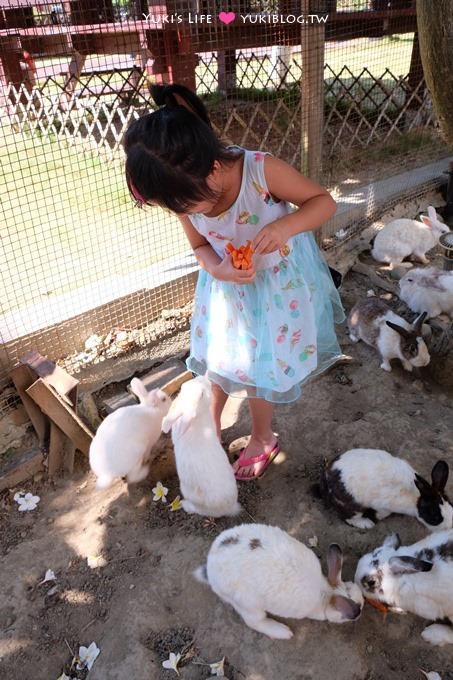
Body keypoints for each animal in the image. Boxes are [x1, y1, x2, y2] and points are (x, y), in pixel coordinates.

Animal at [192, 524, 362, 640]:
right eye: (358, 609)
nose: (361, 609)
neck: (327, 593)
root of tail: (210, 570)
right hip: (248, 605)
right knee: (254, 622)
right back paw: (283, 632)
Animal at [318, 448, 452, 532]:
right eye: (434, 517)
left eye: (451, 504)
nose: (450, 526)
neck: (415, 498)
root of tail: (326, 478)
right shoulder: (383, 506)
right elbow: (383, 514)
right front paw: (378, 518)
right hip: (352, 506)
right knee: (347, 517)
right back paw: (366, 523)